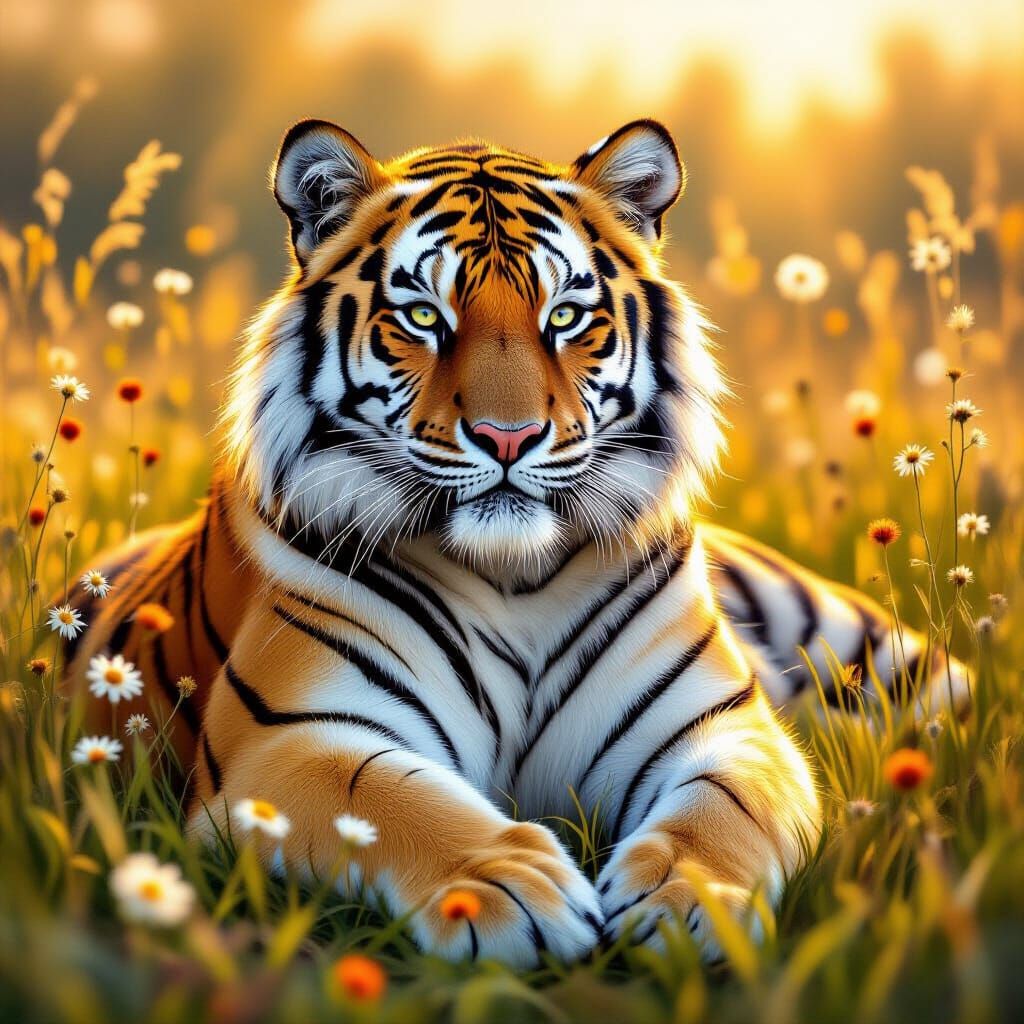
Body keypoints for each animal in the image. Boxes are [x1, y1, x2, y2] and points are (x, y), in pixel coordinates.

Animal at [65, 118, 968, 967]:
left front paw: (688, 900)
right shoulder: (288, 738)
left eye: (565, 317)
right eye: (423, 317)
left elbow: (723, 810)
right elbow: (391, 799)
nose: (509, 437)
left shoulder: (722, 726)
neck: (516, 577)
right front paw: (502, 888)